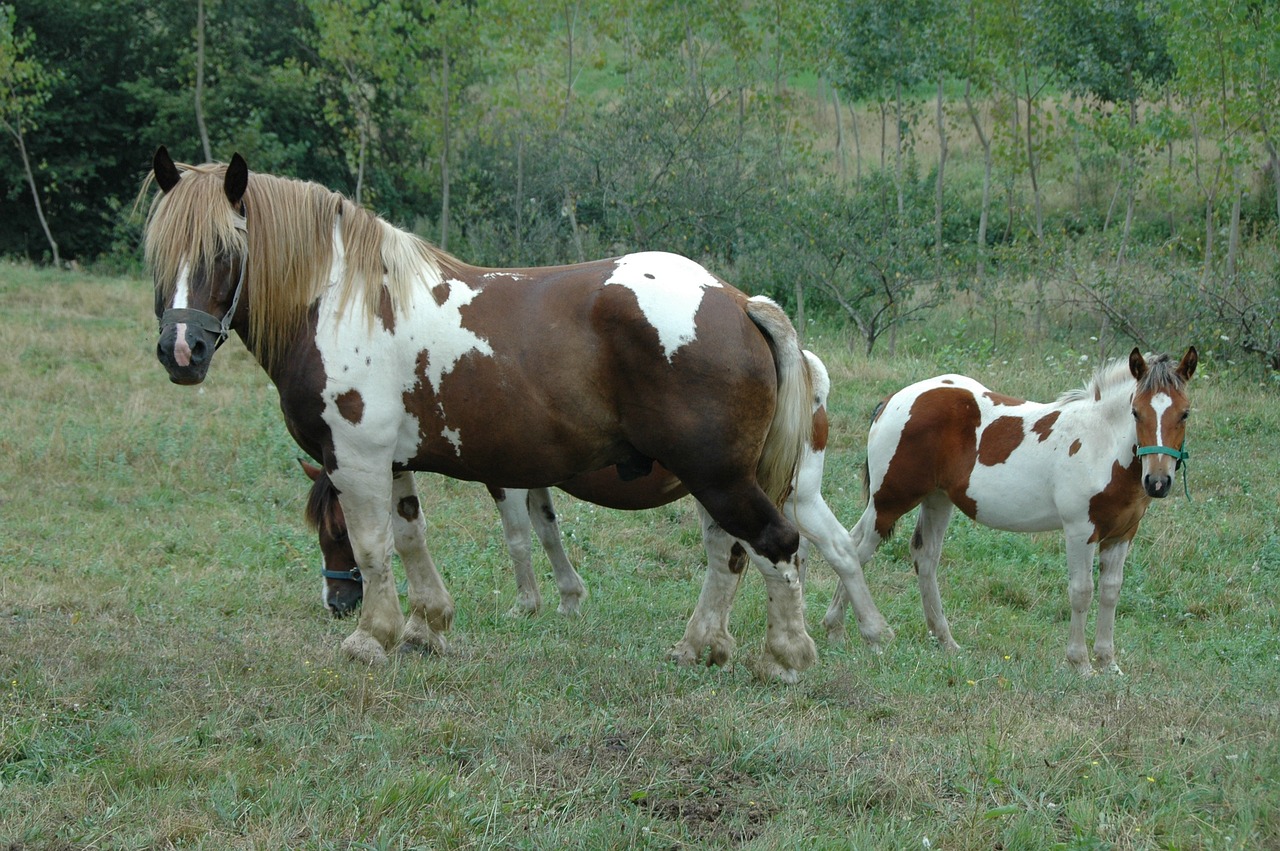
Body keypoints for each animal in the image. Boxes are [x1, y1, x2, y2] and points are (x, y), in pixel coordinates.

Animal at [296, 350, 901, 670]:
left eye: (336, 531)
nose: (337, 604)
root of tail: (804, 371)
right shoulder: (534, 481)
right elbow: (547, 532)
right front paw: (567, 598)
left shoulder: (504, 482)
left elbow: (519, 539)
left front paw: (528, 604)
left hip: (784, 495)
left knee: (834, 550)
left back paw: (868, 631)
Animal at [824, 348, 1192, 675]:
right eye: (1136, 412)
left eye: (1185, 413)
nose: (1158, 482)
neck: (1101, 445)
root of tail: (892, 401)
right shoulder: (1080, 530)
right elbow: (1082, 592)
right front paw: (1081, 664)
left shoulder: (1122, 534)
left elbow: (1111, 593)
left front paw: (1108, 663)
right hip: (890, 501)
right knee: (856, 549)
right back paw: (842, 631)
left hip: (936, 500)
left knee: (922, 557)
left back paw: (944, 642)